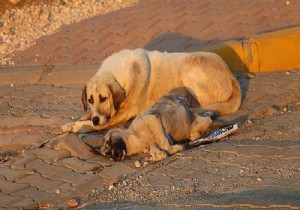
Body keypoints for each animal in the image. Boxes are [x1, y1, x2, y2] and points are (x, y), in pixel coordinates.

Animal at [61, 48, 241, 132]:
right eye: (90, 100)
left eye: (104, 98)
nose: (96, 119)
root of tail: (231, 75)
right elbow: (86, 115)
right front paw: (71, 123)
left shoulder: (119, 116)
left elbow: (92, 124)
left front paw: (78, 126)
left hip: (188, 66)